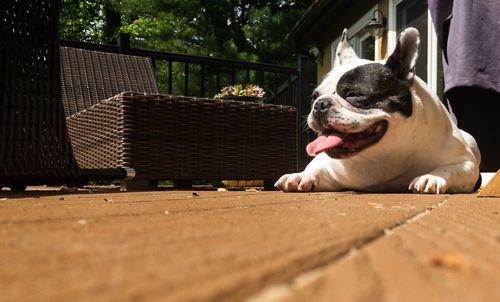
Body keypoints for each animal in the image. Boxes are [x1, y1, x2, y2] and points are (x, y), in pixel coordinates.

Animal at [274, 27, 480, 193]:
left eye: (353, 94)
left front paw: (432, 177)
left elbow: (449, 169)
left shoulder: (466, 164)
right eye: (314, 96)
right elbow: (314, 167)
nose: (320, 104)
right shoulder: (326, 163)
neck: (382, 153)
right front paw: (300, 175)